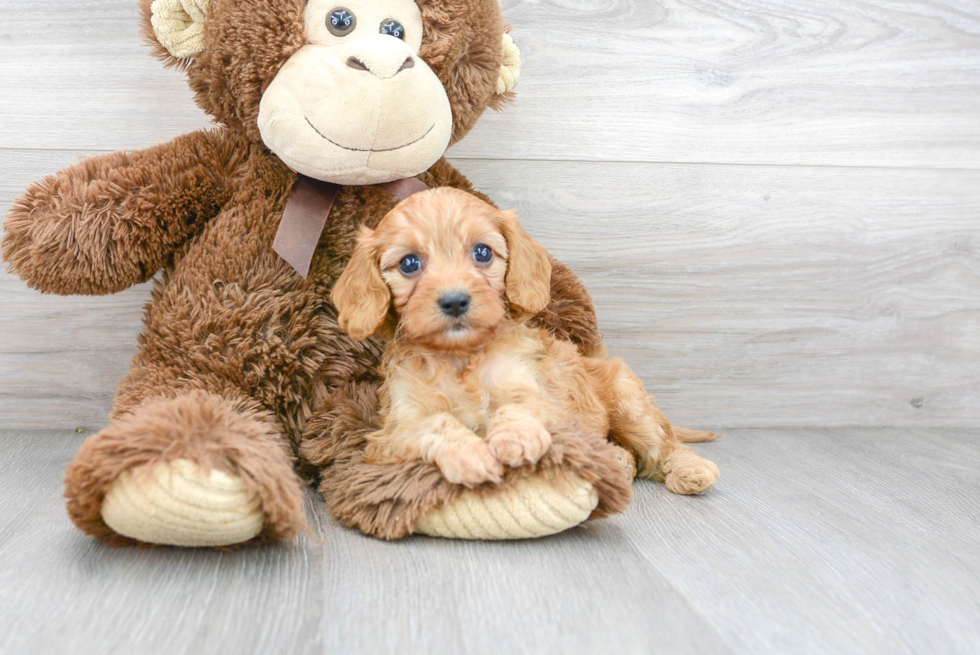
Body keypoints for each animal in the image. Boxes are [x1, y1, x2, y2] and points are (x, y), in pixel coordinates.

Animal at [332, 187, 720, 494]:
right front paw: (470, 455)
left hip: (630, 402)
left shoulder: (540, 395)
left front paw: (515, 439)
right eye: (409, 263)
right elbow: (436, 424)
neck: (461, 357)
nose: (455, 301)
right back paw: (617, 461)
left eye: (483, 253)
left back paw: (691, 469)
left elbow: (519, 406)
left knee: (662, 446)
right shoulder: (395, 429)